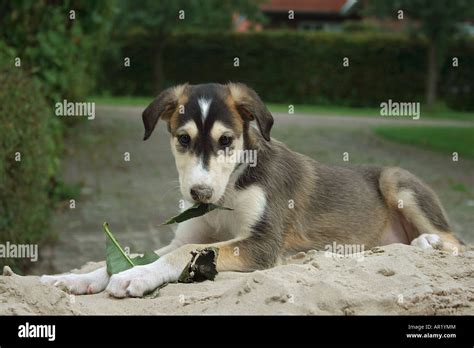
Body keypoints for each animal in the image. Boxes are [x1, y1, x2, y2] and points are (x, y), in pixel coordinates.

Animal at [41, 83, 462, 296]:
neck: (228, 192)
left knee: (456, 241)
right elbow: (135, 254)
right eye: (183, 139)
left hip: (395, 180)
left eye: (226, 141)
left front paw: (137, 277)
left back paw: (428, 242)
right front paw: (78, 278)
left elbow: (180, 255)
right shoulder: (188, 234)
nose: (199, 194)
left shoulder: (261, 243)